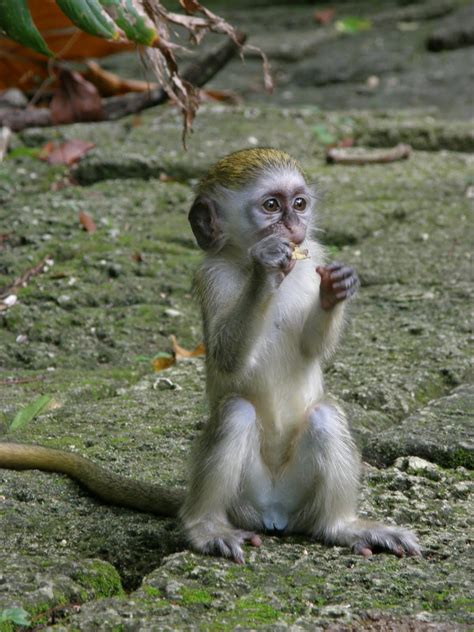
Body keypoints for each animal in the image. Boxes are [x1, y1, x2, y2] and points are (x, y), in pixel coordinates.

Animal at [0, 147, 420, 564]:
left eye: (299, 204)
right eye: (271, 206)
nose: (293, 226)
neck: (243, 259)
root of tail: (275, 513)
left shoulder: (312, 254)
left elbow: (312, 347)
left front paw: (335, 288)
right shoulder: (212, 275)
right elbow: (224, 357)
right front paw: (266, 267)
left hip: (300, 497)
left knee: (325, 416)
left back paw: (341, 526)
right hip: (243, 500)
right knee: (236, 413)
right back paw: (206, 528)